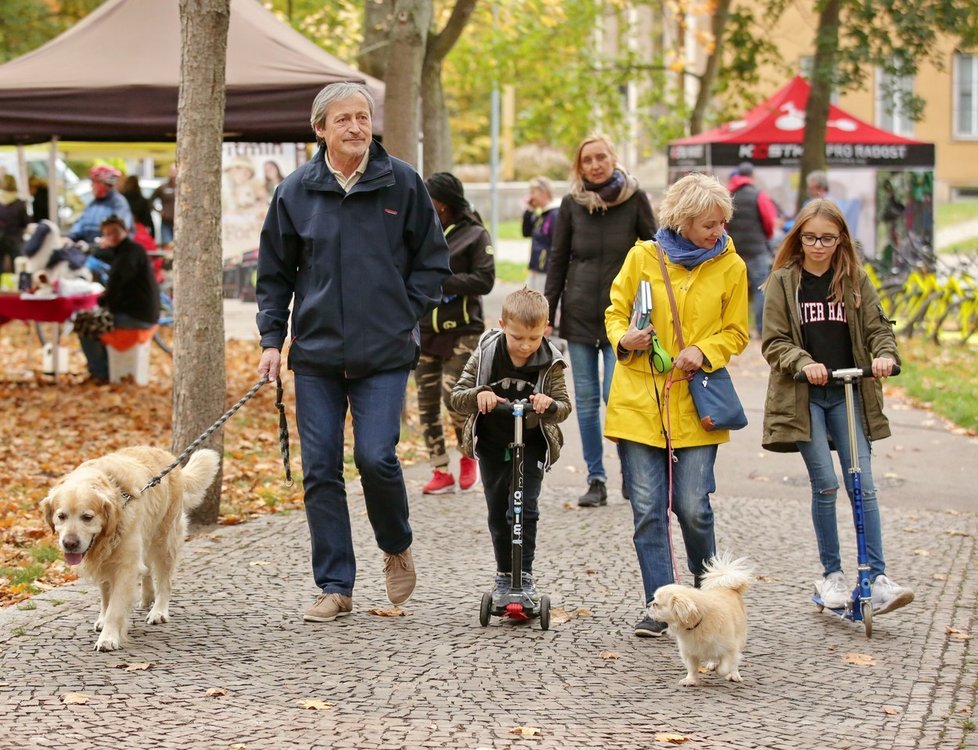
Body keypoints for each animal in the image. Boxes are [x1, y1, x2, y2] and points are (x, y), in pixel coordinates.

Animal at [40, 446, 219, 652]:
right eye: (61, 516)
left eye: (87, 517)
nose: (69, 543)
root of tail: (166, 455)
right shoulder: (105, 562)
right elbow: (106, 598)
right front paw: (103, 620)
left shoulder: (125, 566)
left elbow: (115, 607)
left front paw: (108, 638)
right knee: (147, 570)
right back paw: (148, 597)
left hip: (165, 541)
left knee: (164, 581)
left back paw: (159, 611)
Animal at [648, 556, 756, 692]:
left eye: (656, 604)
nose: (648, 605)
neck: (699, 623)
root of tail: (728, 587)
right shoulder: (689, 651)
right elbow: (692, 668)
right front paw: (690, 680)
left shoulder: (730, 648)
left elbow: (725, 666)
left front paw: (724, 672)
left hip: (739, 639)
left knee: (734, 661)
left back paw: (734, 674)